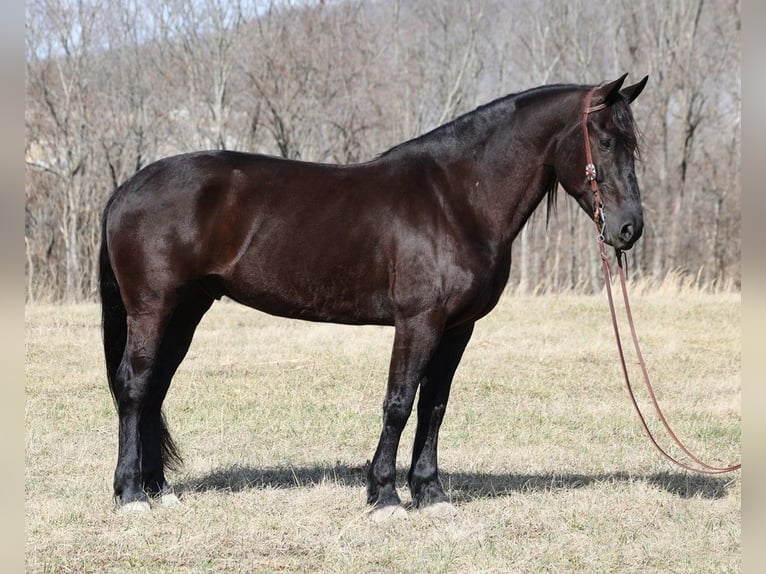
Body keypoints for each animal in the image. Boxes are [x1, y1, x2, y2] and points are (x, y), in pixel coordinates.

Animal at [100, 73, 648, 516]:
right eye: (603, 139)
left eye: (633, 144)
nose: (629, 228)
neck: (457, 199)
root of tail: (128, 187)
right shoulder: (418, 321)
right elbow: (399, 402)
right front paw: (384, 495)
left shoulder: (457, 327)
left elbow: (434, 406)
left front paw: (430, 493)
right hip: (152, 308)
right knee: (134, 386)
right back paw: (131, 495)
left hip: (185, 310)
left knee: (156, 388)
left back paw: (160, 490)